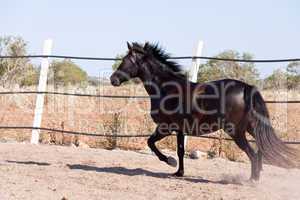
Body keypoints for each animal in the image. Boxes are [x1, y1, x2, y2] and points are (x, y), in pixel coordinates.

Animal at [109, 42, 298, 181]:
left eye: (127, 60)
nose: (113, 80)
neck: (167, 89)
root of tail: (246, 88)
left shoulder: (166, 127)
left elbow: (151, 143)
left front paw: (170, 162)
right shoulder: (180, 130)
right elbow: (179, 150)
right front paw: (178, 172)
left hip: (236, 131)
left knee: (252, 153)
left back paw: (252, 180)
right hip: (251, 127)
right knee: (258, 152)